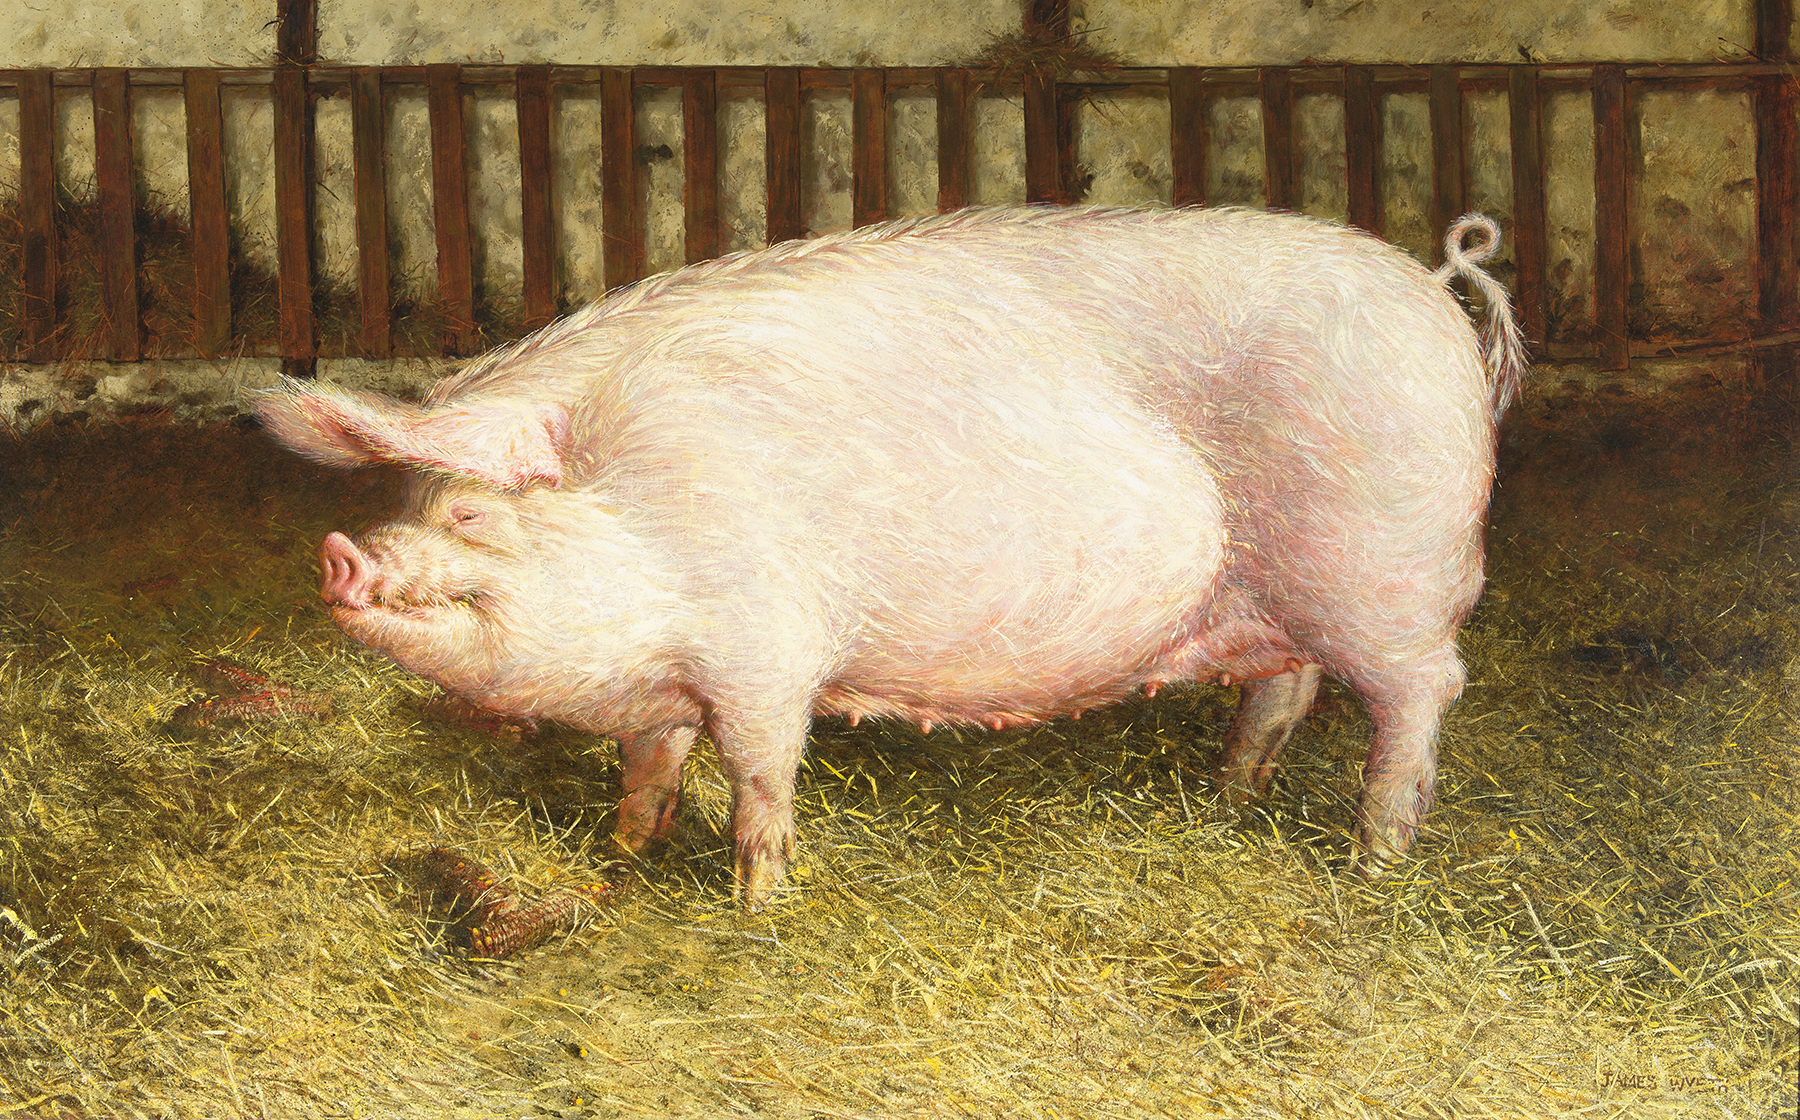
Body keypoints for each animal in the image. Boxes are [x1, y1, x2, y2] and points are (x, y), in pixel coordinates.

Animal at [253, 205, 1526, 908]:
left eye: (474, 519)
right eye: (414, 500)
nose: (340, 555)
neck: (650, 504)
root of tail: (1434, 286)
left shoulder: (765, 651)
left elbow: (761, 778)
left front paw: (757, 902)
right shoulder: (670, 687)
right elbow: (651, 770)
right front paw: (621, 857)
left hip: (1392, 577)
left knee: (1423, 700)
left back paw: (1371, 864)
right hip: (1277, 595)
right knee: (1287, 689)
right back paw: (1223, 803)